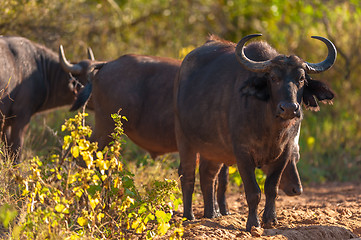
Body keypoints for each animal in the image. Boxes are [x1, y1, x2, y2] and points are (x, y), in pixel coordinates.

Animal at [174, 34, 334, 231]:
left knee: (207, 175)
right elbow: (253, 192)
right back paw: (189, 217)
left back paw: (211, 215)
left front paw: (270, 220)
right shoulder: (242, 154)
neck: (270, 127)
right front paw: (252, 223)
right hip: (184, 139)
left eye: (302, 78)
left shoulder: (284, 153)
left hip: (213, 149)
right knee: (188, 175)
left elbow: (271, 188)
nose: (289, 108)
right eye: (273, 77)